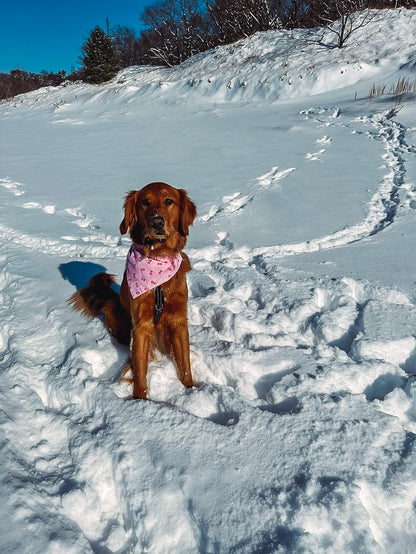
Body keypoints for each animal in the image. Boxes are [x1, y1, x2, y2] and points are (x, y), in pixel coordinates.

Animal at [70, 181, 197, 396]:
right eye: (145, 202)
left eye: (168, 201)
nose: (157, 223)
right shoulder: (140, 326)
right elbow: (140, 369)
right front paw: (140, 400)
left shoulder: (179, 319)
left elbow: (184, 362)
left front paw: (190, 389)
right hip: (114, 309)